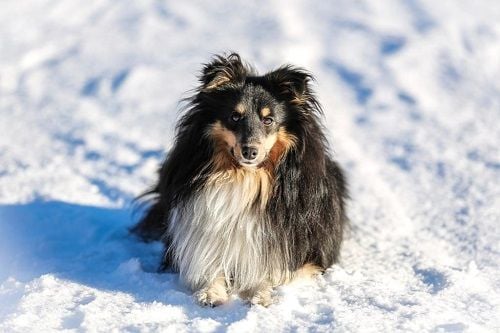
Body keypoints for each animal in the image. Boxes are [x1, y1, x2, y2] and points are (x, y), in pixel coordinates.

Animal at [131, 52, 346, 306]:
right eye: (234, 116)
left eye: (268, 120)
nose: (250, 151)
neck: (245, 177)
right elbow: (209, 261)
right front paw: (211, 292)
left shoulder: (305, 251)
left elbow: (274, 269)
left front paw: (260, 294)